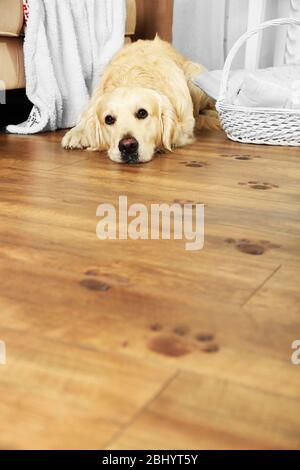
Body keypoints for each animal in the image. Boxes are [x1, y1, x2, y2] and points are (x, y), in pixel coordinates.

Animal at [62, 35, 219, 163]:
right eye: (109, 119)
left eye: (142, 113)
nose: (127, 146)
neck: (131, 78)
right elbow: (85, 119)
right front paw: (76, 133)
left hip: (195, 75)